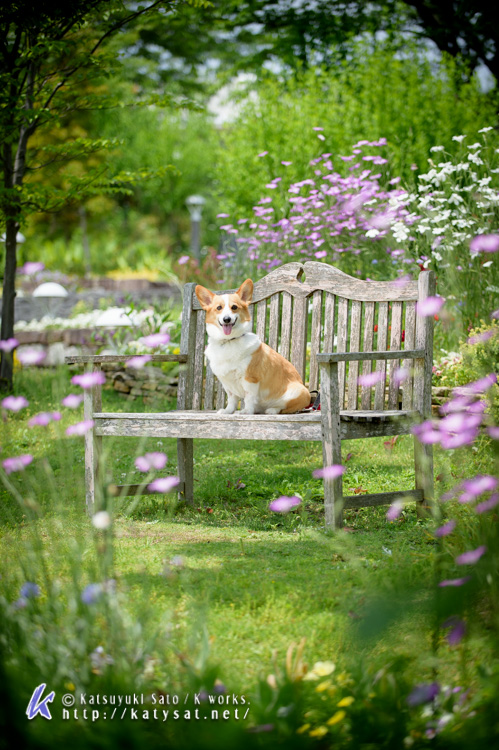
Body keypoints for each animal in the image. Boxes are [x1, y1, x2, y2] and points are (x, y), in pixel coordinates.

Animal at [196, 280, 310, 414]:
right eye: (219, 308)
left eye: (234, 307)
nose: (227, 319)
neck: (229, 341)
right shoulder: (227, 383)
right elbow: (232, 399)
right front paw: (228, 411)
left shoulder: (250, 379)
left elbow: (248, 397)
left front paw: (246, 411)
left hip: (297, 391)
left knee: (284, 407)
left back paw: (272, 410)